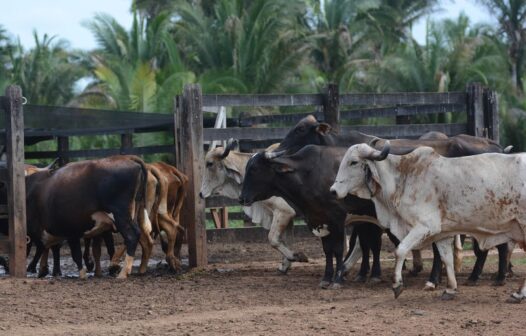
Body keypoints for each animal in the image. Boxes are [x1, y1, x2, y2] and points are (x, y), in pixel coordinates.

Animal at [330, 142, 526, 302]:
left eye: (353, 162)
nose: (333, 191)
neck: (403, 178)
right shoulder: (441, 232)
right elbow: (446, 258)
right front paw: (450, 289)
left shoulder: (424, 226)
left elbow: (400, 250)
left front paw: (397, 285)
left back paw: (518, 293)